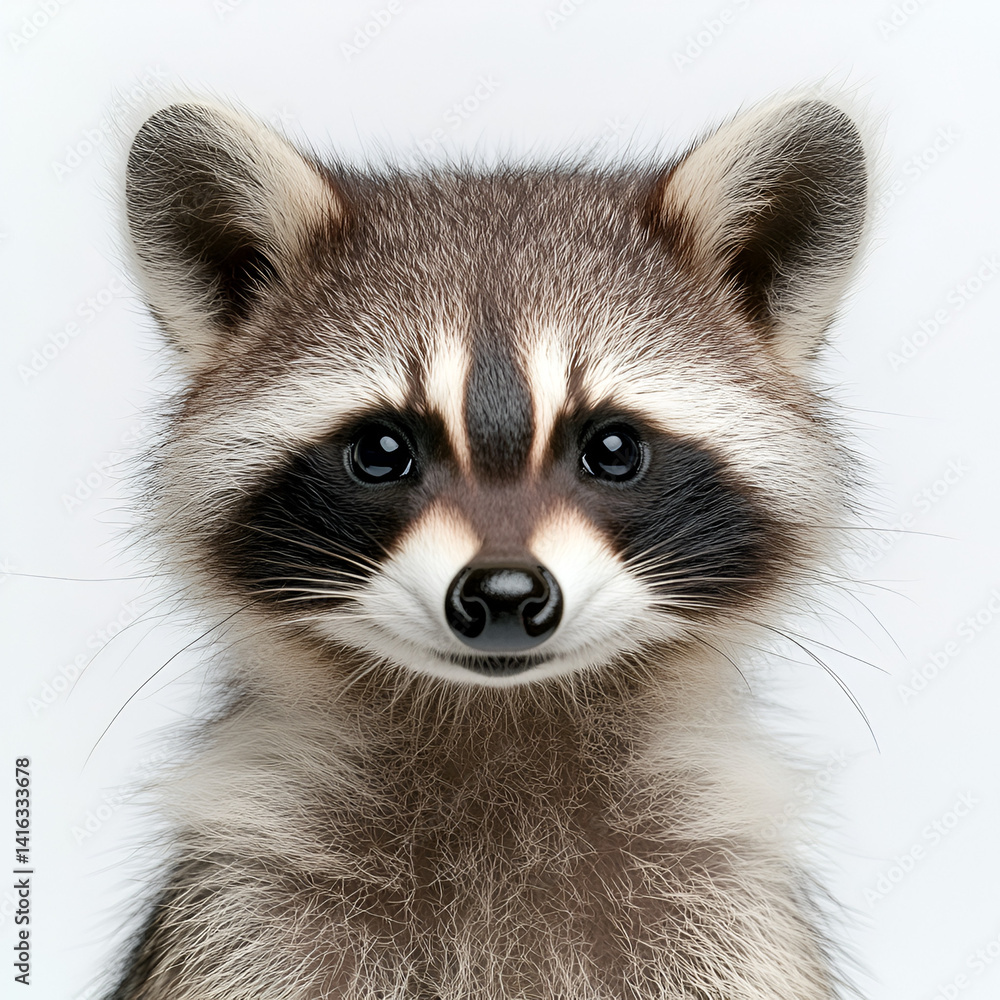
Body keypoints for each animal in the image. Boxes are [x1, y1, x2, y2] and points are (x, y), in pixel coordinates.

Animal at [107, 90, 871, 999]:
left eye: (613, 448)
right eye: (382, 451)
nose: (504, 594)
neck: (501, 724)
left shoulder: (724, 912)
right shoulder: (246, 912)